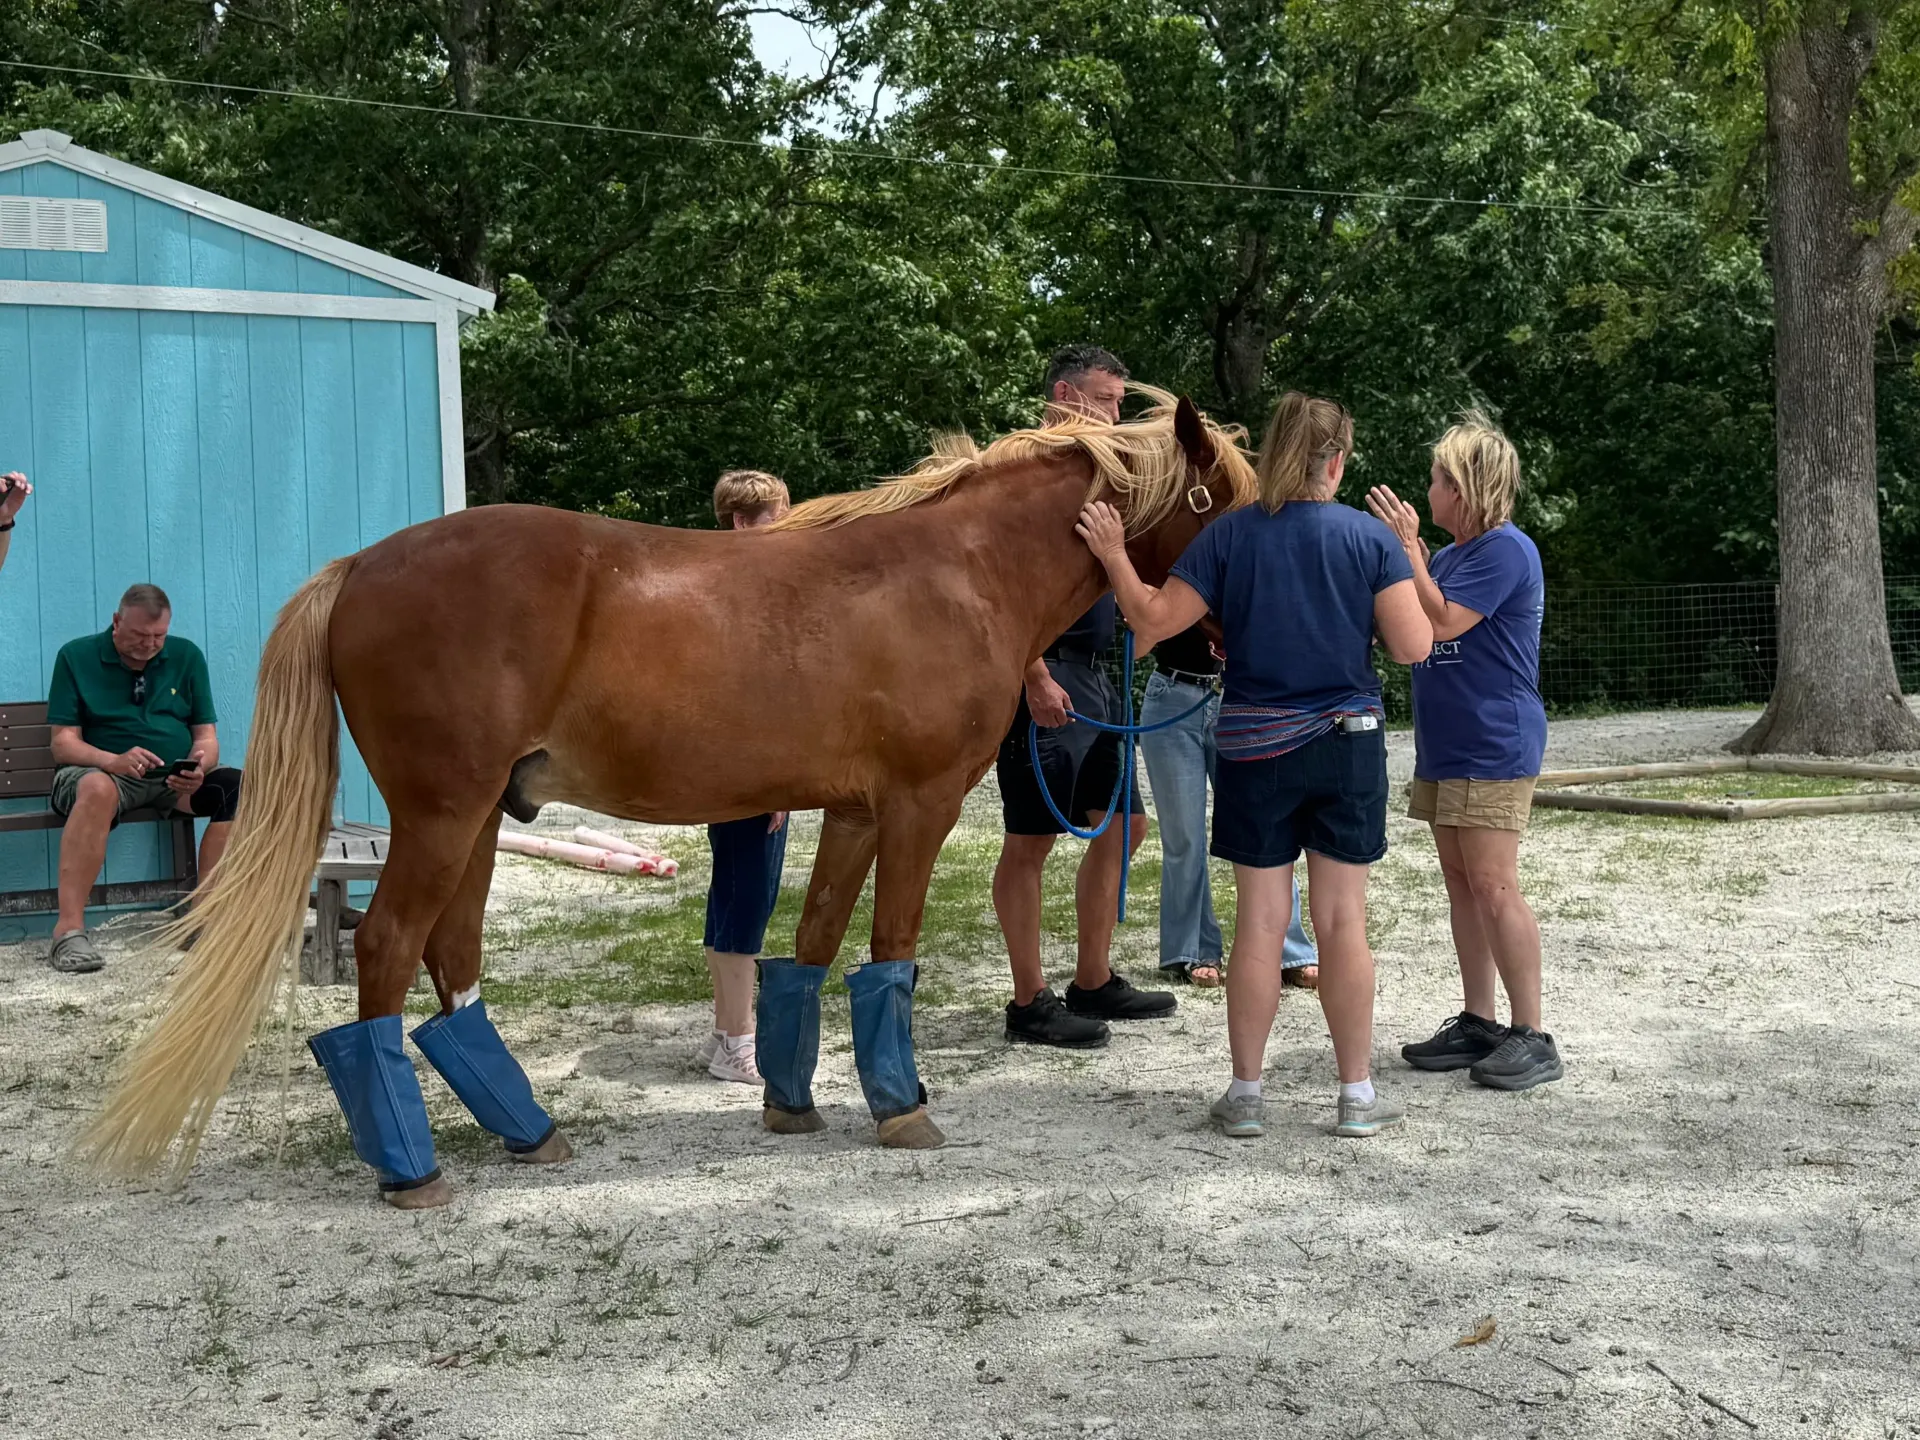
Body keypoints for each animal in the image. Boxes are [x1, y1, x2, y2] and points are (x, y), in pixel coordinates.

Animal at [74, 387, 1259, 1208]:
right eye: (1236, 511)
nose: (1223, 647)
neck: (956, 571)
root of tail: (362, 566)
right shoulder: (917, 807)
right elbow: (889, 956)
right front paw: (902, 1110)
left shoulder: (853, 811)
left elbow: (810, 950)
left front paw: (791, 1105)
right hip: (444, 816)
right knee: (390, 952)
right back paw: (412, 1170)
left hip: (480, 823)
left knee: (454, 966)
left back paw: (527, 1129)